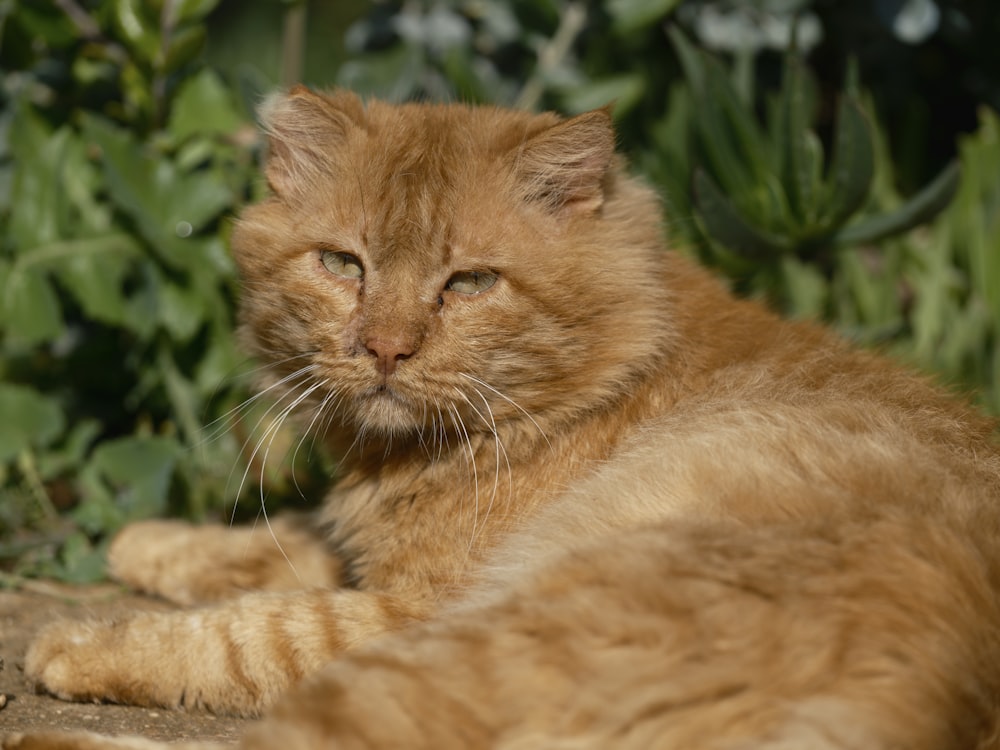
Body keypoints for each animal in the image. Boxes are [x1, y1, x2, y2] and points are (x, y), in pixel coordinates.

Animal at [7, 88, 1000, 750]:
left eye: (471, 282)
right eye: (343, 264)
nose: (385, 349)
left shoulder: (411, 608)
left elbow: (251, 629)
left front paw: (85, 639)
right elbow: (268, 541)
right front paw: (148, 544)